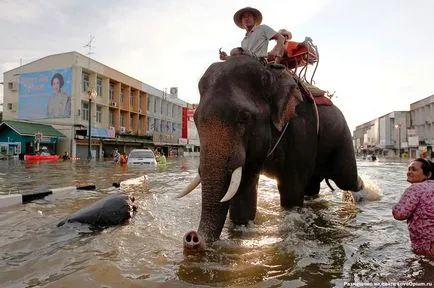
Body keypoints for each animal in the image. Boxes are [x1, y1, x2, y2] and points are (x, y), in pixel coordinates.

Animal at [178, 55, 364, 253]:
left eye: (244, 117)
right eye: (195, 118)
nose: (192, 237)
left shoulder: (301, 128)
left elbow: (291, 191)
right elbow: (243, 191)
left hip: (342, 135)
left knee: (346, 179)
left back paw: (361, 192)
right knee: (313, 186)